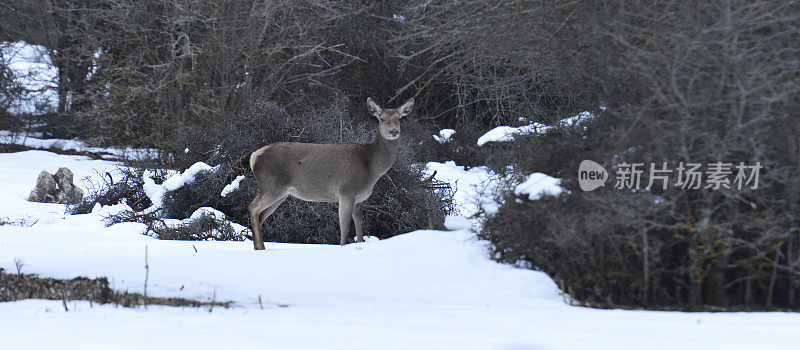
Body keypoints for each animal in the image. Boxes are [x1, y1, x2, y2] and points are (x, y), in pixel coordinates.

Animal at [248, 97, 412, 249]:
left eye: (399, 118)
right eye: (382, 118)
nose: (394, 131)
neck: (370, 168)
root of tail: (253, 157)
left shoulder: (360, 198)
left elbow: (359, 228)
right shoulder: (346, 191)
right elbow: (345, 228)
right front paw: (342, 247)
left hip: (281, 193)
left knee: (260, 216)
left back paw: (259, 247)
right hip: (271, 186)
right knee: (253, 208)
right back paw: (260, 247)